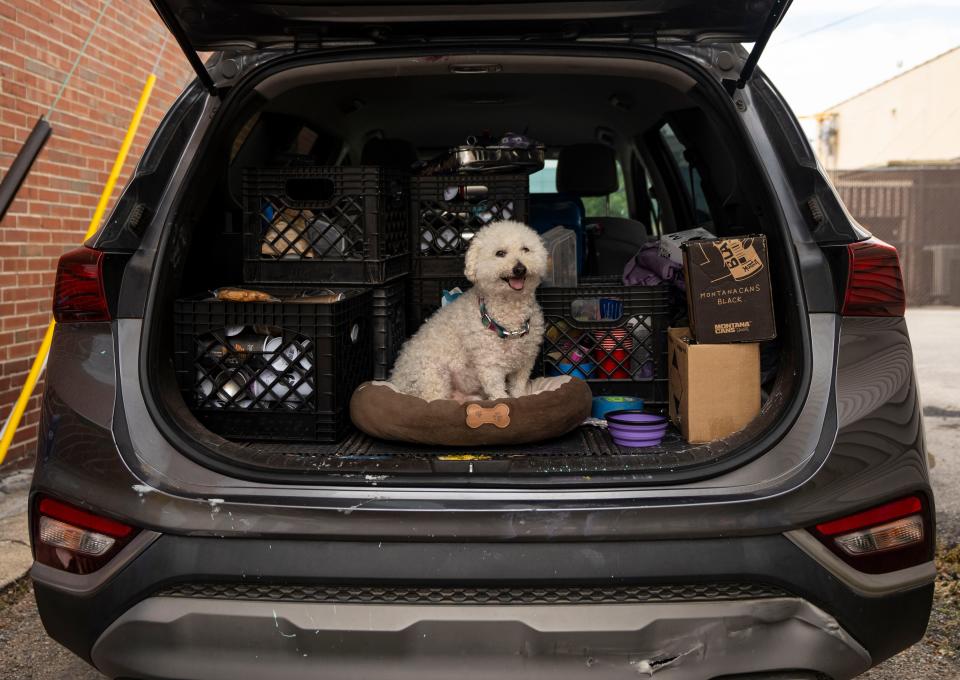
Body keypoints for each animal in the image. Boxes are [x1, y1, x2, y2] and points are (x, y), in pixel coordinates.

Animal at [390, 220, 548, 402]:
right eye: (500, 253)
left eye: (526, 249)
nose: (520, 269)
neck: (510, 309)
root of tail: (395, 379)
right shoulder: (490, 364)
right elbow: (497, 391)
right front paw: (504, 401)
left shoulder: (524, 362)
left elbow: (518, 387)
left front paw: (521, 397)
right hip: (432, 376)